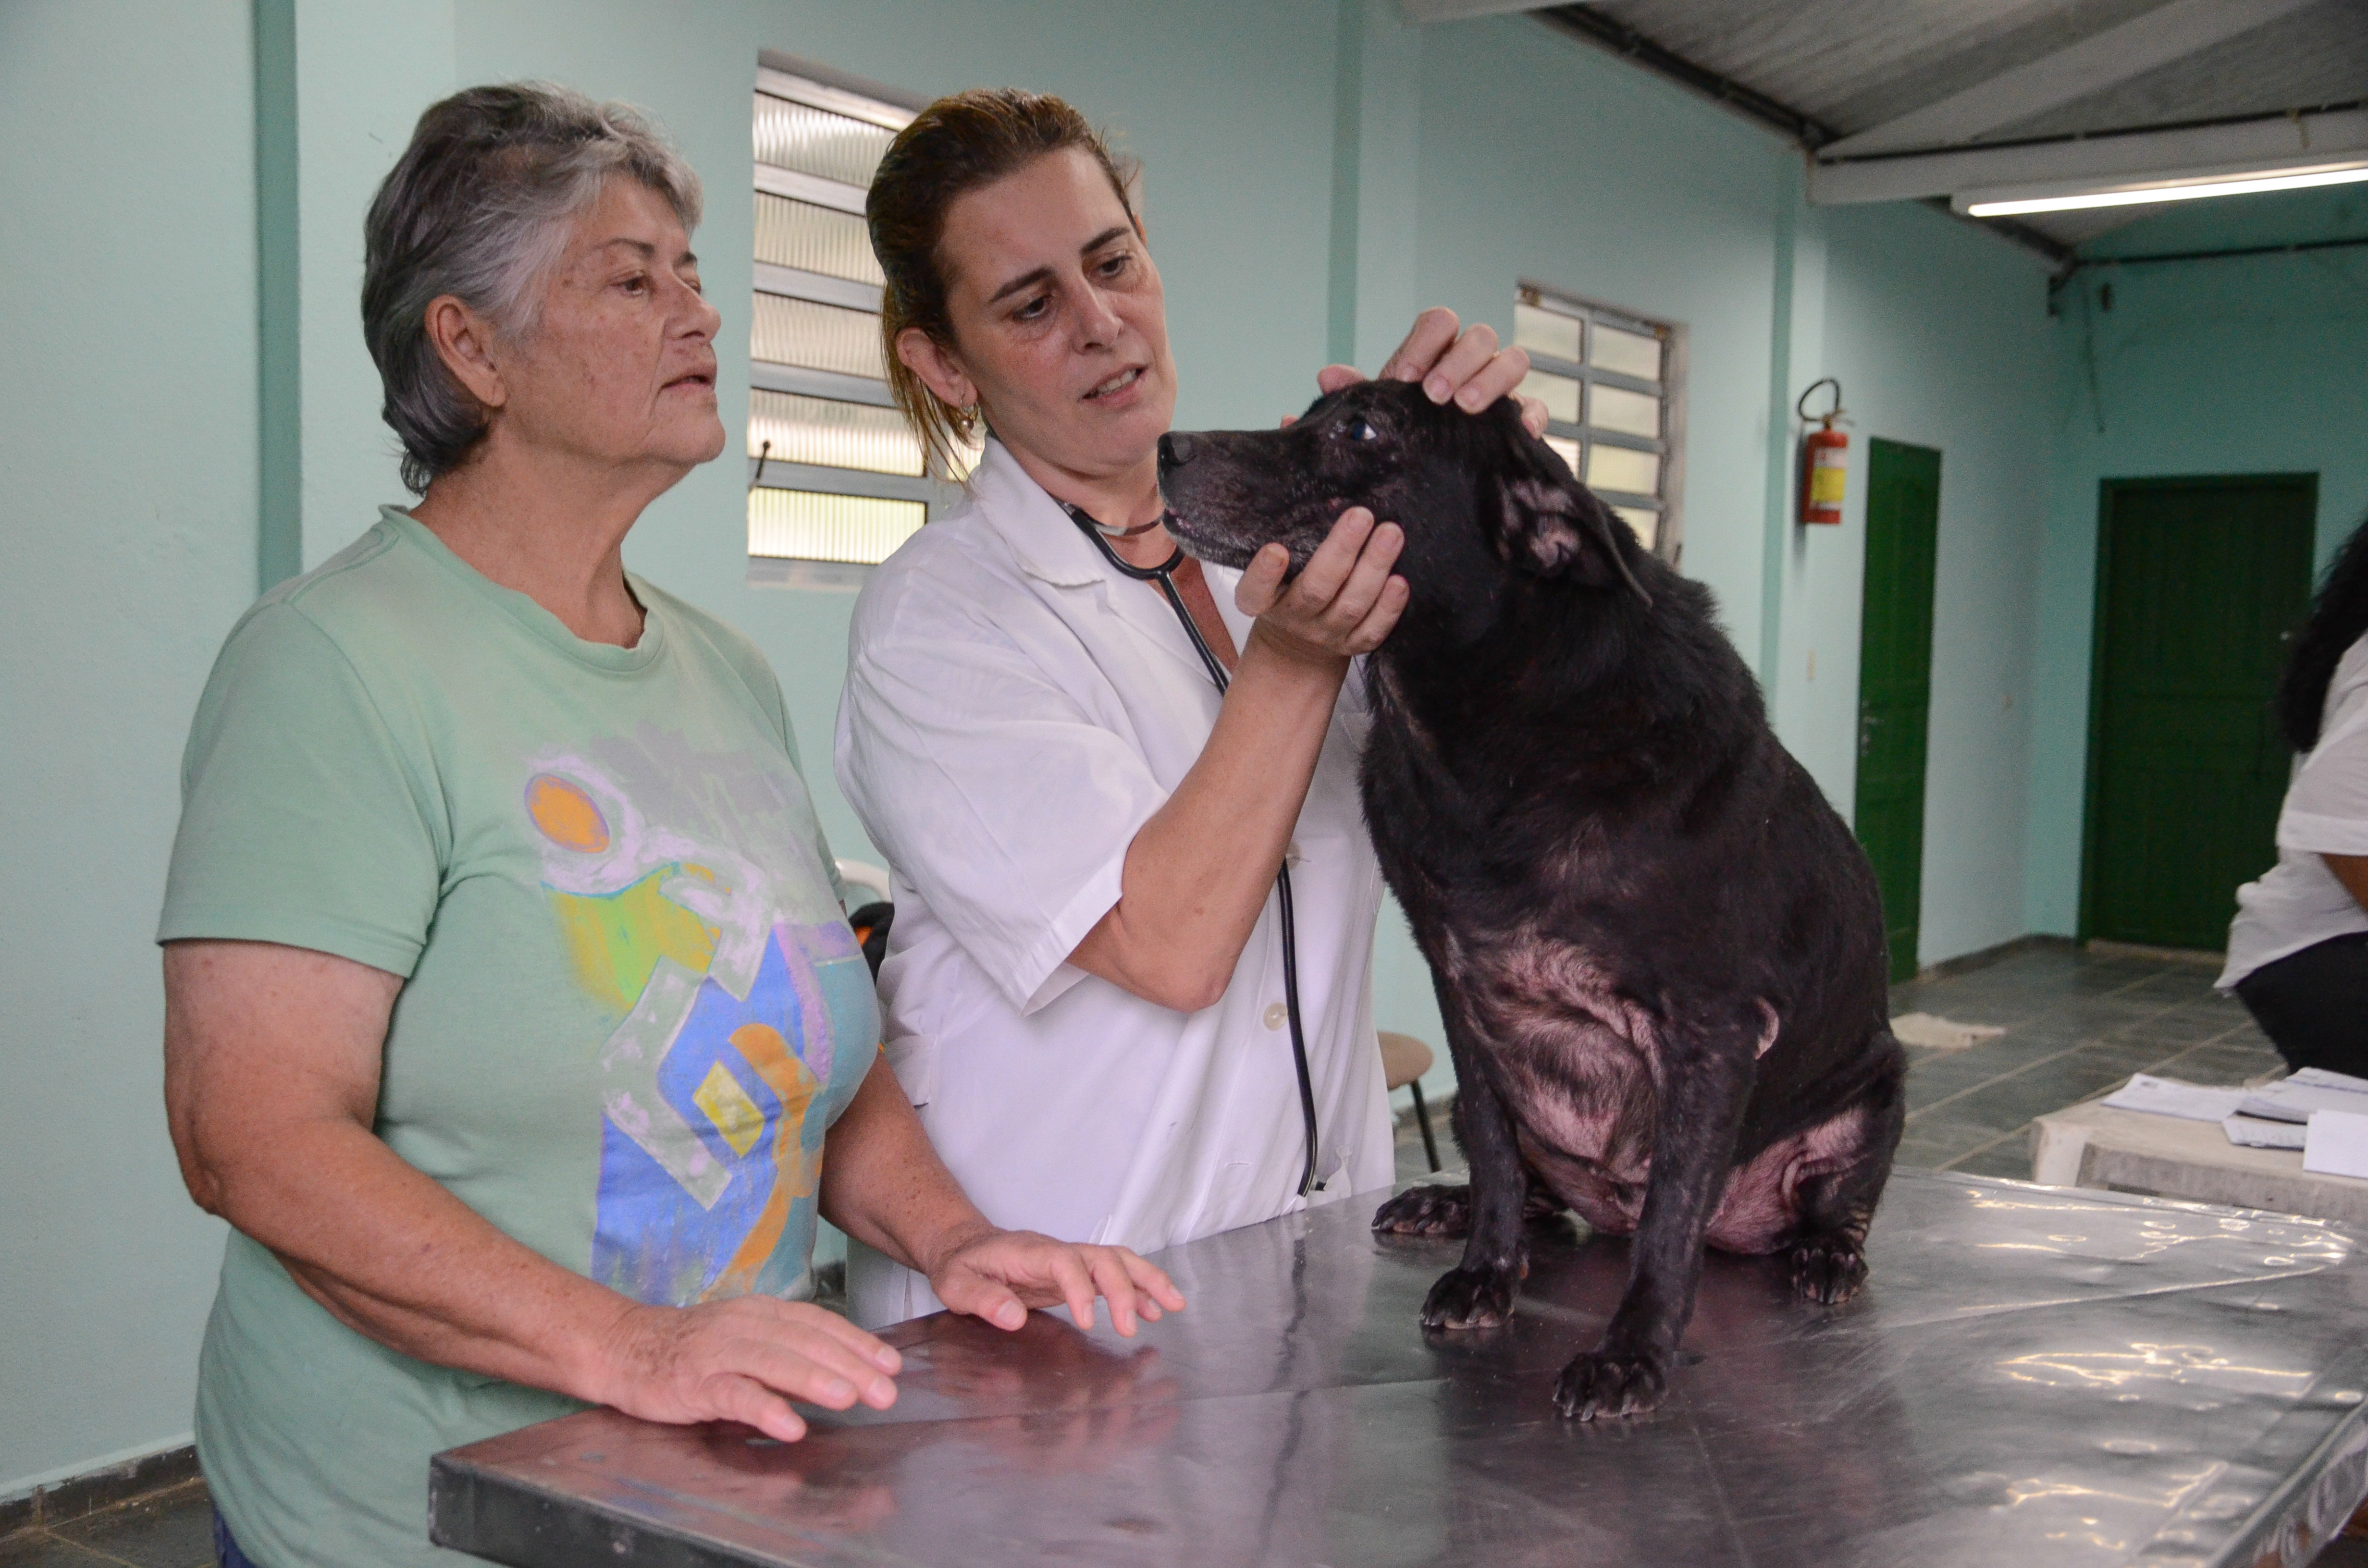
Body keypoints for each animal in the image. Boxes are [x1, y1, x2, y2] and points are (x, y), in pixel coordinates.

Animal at [1160, 381, 1904, 1421]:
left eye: (1361, 430)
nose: (1162, 447)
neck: (1494, 736)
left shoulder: (1712, 1029)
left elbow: (1672, 1214)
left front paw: (1632, 1351)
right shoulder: (1463, 996)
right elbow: (1501, 1161)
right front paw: (1487, 1269)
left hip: (1876, 1092)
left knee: (1823, 1206)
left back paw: (1827, 1252)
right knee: (1533, 1189)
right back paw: (1447, 1202)